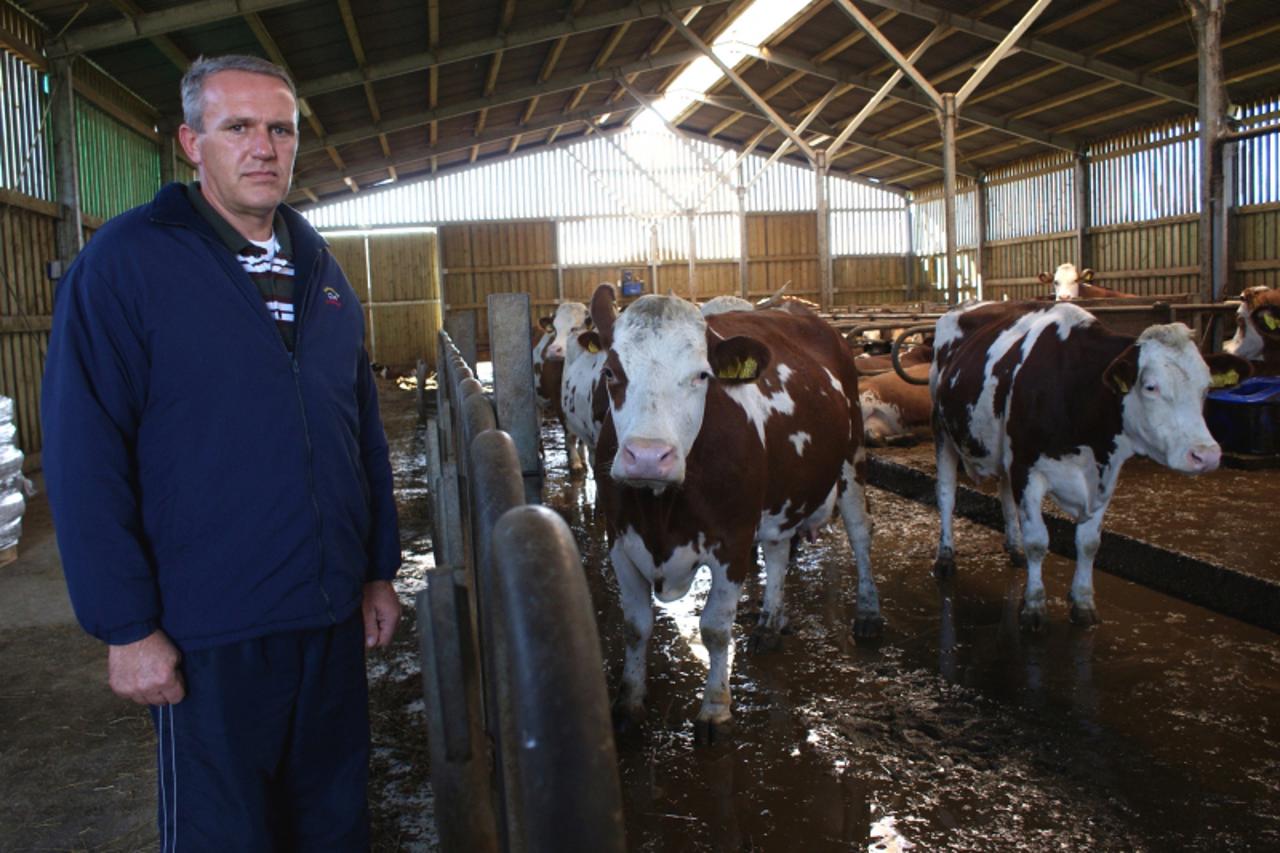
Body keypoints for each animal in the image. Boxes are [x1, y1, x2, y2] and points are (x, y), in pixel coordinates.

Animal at [591, 284, 880, 737]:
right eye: (609, 373)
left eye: (701, 376)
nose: (649, 457)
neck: (661, 509)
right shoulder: (619, 539)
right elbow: (636, 627)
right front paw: (629, 703)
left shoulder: (733, 540)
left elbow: (714, 628)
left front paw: (715, 707)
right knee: (778, 549)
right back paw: (769, 623)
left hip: (852, 457)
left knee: (860, 531)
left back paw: (868, 613)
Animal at [931, 298, 1249, 625]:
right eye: (1150, 386)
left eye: (1206, 386)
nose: (1206, 455)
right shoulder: (1026, 467)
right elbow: (1037, 541)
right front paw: (1034, 606)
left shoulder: (1103, 473)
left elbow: (1088, 543)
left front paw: (1083, 604)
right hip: (943, 432)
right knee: (946, 496)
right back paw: (946, 557)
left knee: (1004, 492)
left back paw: (1014, 549)